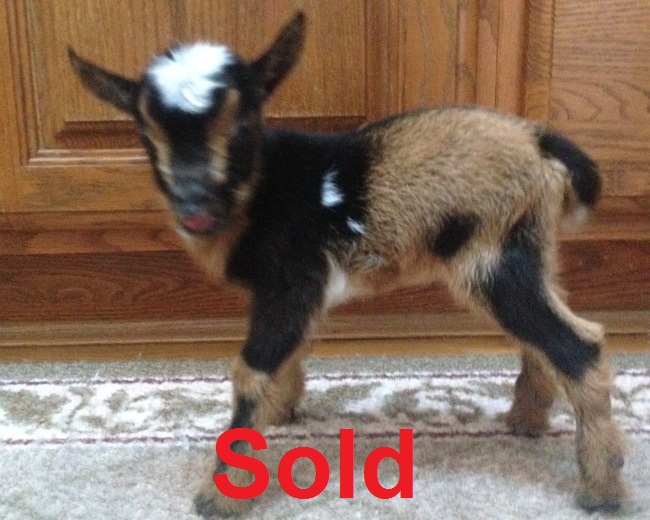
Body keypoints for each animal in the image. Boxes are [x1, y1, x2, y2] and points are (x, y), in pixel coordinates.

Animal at [68, 11, 626, 518]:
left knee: (578, 343)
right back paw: (528, 420)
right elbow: (287, 354)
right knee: (544, 333)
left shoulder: (291, 278)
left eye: (242, 125)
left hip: (492, 258)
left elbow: (252, 371)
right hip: (529, 249)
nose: (194, 208)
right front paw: (285, 410)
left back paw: (601, 489)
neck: (262, 189)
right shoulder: (291, 292)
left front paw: (220, 495)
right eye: (146, 134)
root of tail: (539, 142)